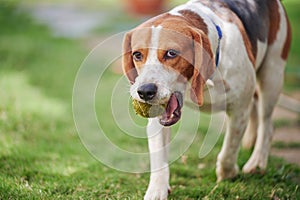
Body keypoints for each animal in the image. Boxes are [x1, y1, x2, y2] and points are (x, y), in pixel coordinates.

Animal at [121, 0, 290, 198]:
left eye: (171, 53)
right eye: (137, 55)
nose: (145, 91)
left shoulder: (239, 109)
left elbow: (229, 150)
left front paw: (227, 174)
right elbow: (158, 158)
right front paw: (157, 190)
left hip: (272, 76)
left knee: (267, 125)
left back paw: (257, 162)